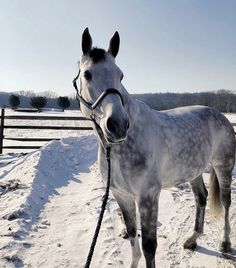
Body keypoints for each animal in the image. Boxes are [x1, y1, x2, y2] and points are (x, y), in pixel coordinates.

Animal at [75, 28, 236, 266]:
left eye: (120, 75)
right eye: (87, 74)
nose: (118, 125)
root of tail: (221, 116)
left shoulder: (148, 197)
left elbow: (149, 247)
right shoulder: (121, 195)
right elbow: (132, 234)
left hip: (223, 165)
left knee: (225, 202)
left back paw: (225, 244)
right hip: (194, 171)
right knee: (201, 198)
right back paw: (192, 240)